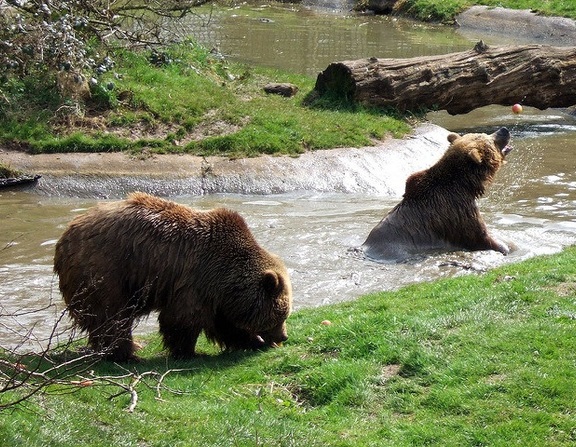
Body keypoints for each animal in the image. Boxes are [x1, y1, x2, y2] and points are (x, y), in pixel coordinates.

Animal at [54, 193, 292, 364]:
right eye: (280, 315)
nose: (283, 337)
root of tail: (64, 237)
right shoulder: (196, 278)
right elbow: (182, 318)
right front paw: (190, 352)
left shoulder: (216, 293)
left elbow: (223, 323)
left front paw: (254, 340)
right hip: (106, 269)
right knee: (111, 315)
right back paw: (127, 352)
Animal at [362, 127, 516, 262]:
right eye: (490, 138)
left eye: (486, 134)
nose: (504, 130)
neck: (465, 185)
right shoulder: (457, 212)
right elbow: (480, 237)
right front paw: (504, 247)